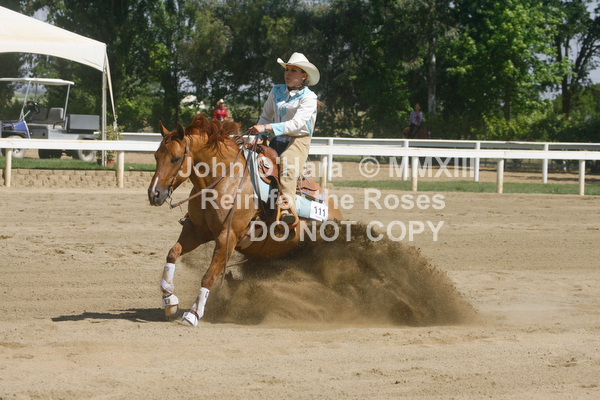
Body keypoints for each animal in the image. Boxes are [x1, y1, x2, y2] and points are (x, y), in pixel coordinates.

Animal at [147, 114, 343, 326]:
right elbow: (172, 254)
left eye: (175, 158)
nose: (154, 194)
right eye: (156, 156)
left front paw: (193, 314)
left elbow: (209, 276)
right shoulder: (196, 230)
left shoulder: (228, 237)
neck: (224, 180)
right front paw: (169, 300)